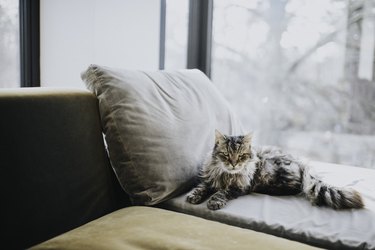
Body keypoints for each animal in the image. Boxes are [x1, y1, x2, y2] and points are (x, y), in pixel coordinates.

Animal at [187, 130, 366, 210]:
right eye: (226, 155)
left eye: (241, 156)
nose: (233, 164)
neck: (226, 175)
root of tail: (301, 162)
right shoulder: (209, 180)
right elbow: (201, 188)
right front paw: (193, 196)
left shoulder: (239, 187)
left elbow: (221, 192)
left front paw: (214, 201)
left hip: (272, 172)